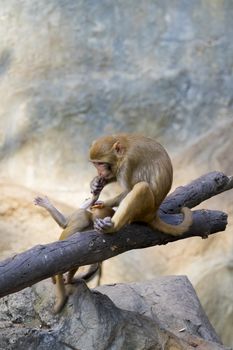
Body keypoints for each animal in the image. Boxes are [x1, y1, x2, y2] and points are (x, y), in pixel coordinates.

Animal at [34, 178, 114, 314]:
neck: (91, 220)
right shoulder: (83, 216)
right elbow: (66, 224)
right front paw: (94, 196)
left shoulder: (83, 217)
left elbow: (66, 224)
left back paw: (66, 280)